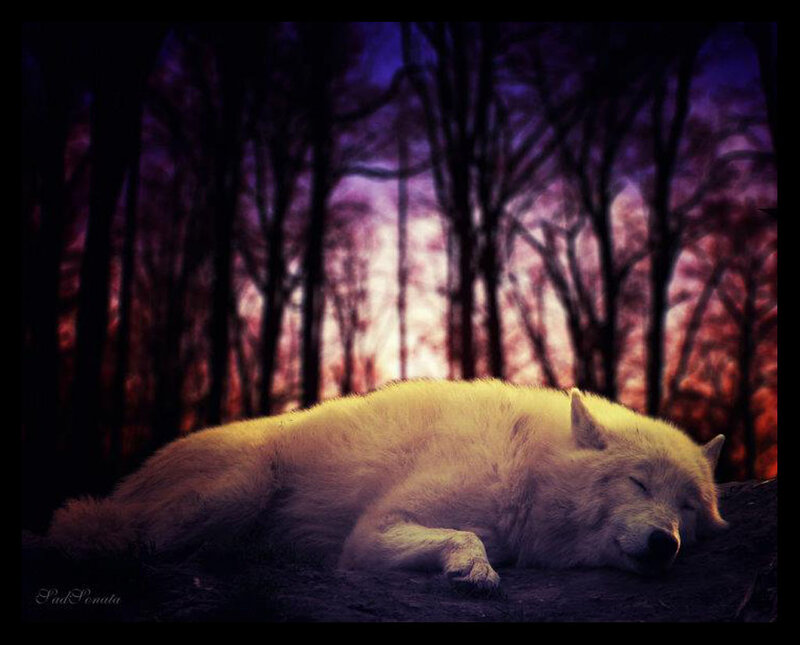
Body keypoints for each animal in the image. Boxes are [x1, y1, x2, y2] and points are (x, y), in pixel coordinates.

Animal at [49, 380, 728, 589]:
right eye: (638, 483)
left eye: (688, 507)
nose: (665, 543)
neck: (525, 467)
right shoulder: (372, 532)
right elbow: (466, 538)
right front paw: (474, 570)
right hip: (238, 488)